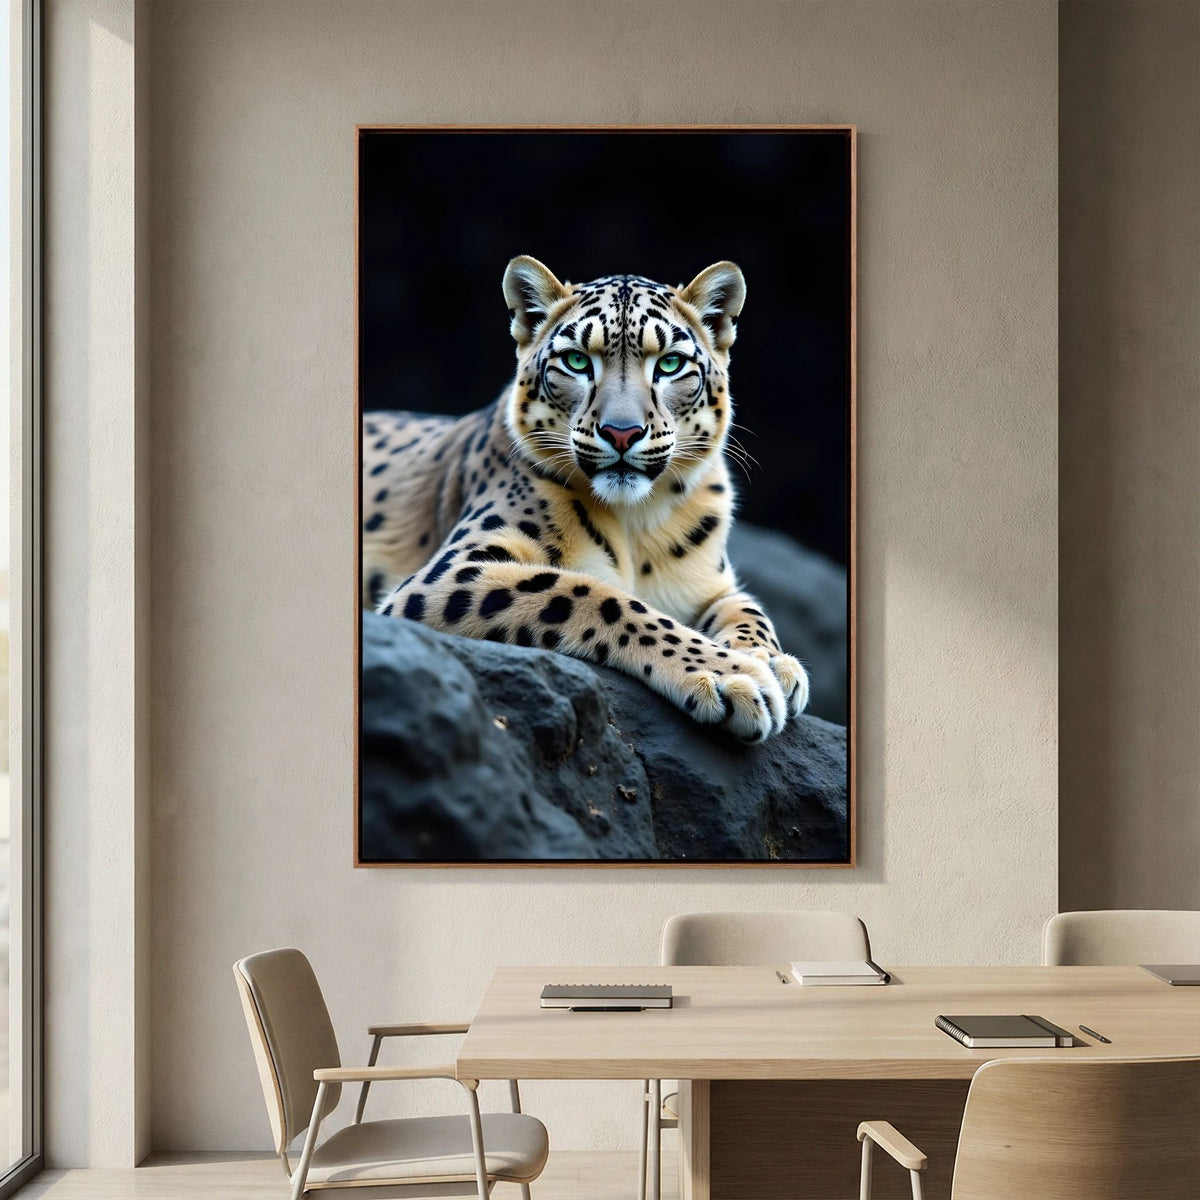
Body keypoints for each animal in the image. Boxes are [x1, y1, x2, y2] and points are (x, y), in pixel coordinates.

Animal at [361, 256, 809, 743]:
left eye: (670, 363)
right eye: (576, 360)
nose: (622, 432)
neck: (637, 524)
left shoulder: (711, 584)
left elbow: (749, 609)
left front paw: (773, 662)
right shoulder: (451, 571)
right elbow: (589, 593)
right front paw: (734, 675)